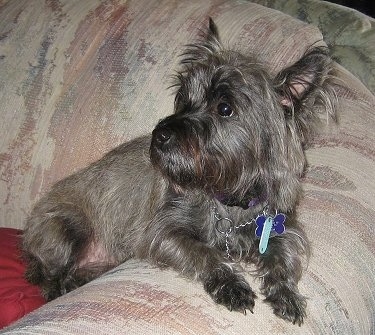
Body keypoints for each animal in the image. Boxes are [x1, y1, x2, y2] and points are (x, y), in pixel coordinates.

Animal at [22, 19, 336, 326]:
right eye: (184, 99)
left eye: (224, 108)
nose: (159, 134)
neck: (227, 197)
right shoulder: (164, 232)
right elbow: (205, 252)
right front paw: (231, 284)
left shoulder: (282, 228)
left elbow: (283, 257)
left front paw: (286, 293)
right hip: (68, 227)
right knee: (51, 275)